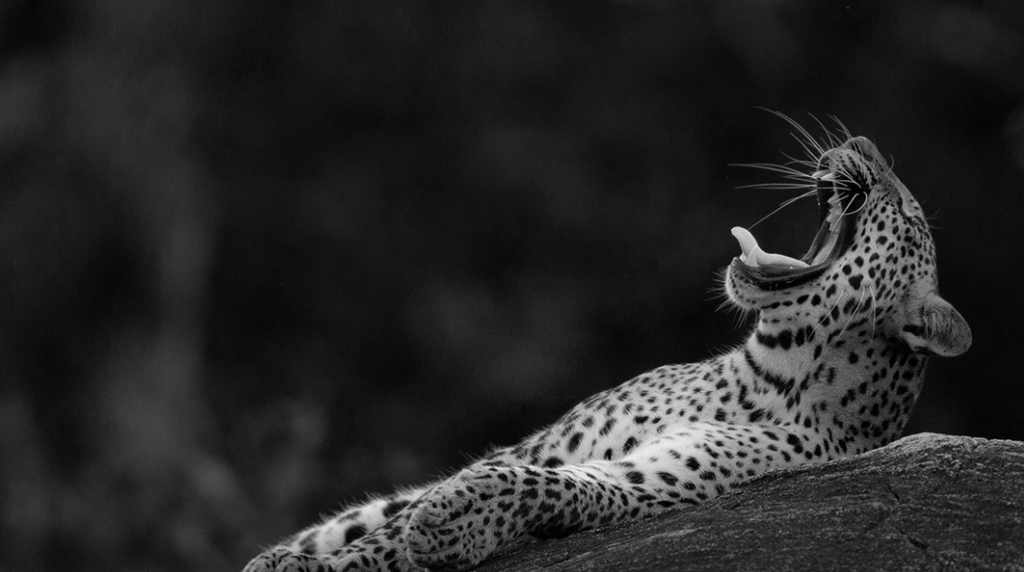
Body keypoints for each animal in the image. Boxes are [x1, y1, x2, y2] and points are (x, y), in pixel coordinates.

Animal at [242, 121, 972, 572]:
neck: (764, 367)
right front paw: (303, 559)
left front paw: (451, 522)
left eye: (906, 210)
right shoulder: (542, 442)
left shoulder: (663, 478)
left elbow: (548, 489)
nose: (861, 140)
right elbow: (396, 523)